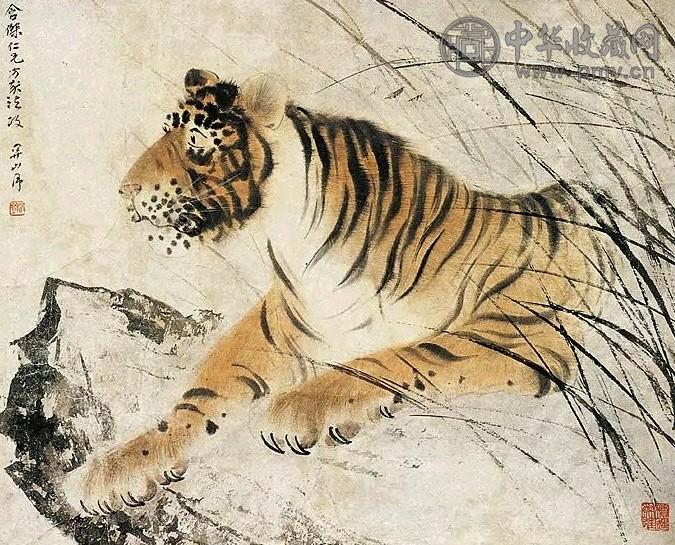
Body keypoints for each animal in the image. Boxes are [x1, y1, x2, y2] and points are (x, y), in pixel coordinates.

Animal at [70, 68, 608, 514]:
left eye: (198, 144)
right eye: (167, 131)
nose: (124, 192)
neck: (297, 244)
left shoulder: (518, 336)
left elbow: (397, 359)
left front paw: (296, 411)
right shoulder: (271, 332)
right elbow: (200, 396)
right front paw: (113, 471)